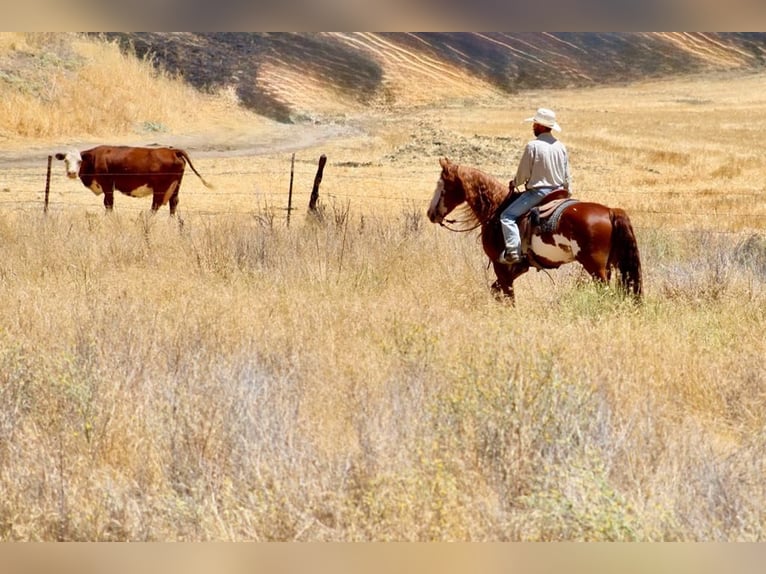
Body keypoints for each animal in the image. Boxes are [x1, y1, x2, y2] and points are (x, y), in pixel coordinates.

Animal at [427, 157, 642, 302]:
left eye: (442, 185)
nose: (430, 213)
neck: (496, 208)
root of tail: (610, 211)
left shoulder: (501, 266)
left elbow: (508, 296)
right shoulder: (519, 267)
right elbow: (496, 290)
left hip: (596, 267)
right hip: (611, 264)